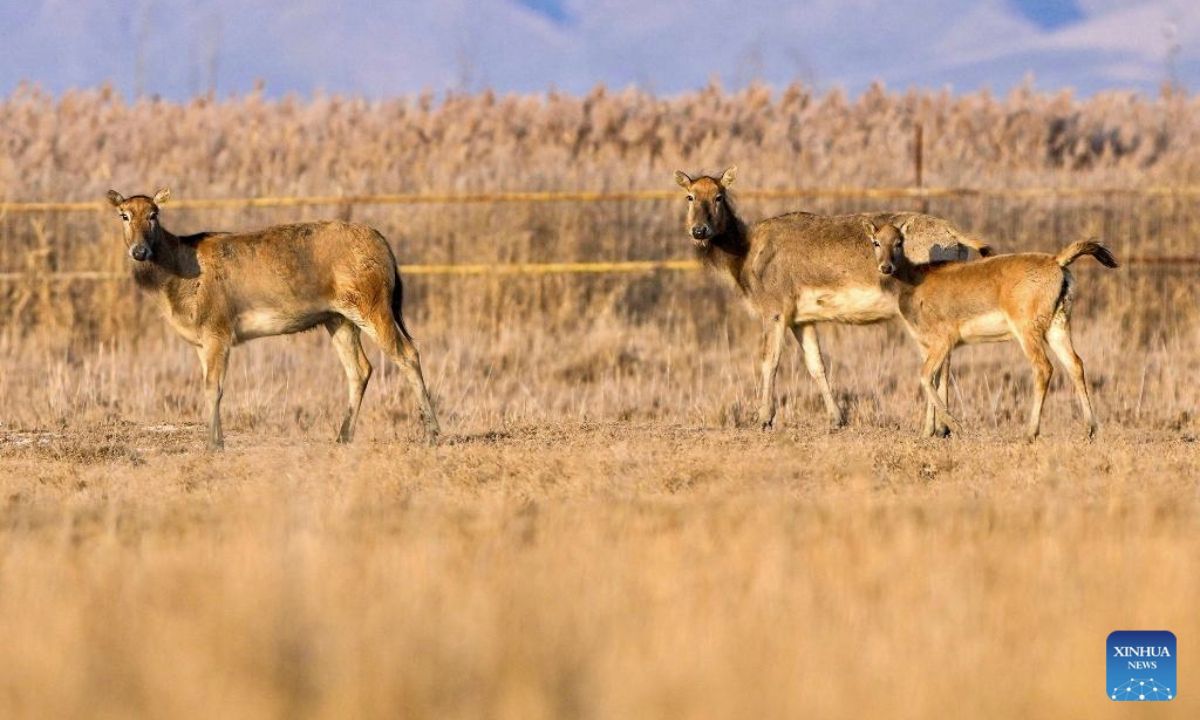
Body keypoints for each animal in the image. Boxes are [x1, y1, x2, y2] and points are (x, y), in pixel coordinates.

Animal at [106, 188, 440, 450]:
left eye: (154, 214)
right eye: (124, 215)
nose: (139, 251)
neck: (177, 286)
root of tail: (386, 247)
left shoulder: (218, 326)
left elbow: (214, 387)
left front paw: (214, 444)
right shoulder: (201, 340)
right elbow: (207, 386)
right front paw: (217, 440)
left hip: (371, 303)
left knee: (407, 353)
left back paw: (432, 433)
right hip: (338, 317)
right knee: (360, 368)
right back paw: (343, 436)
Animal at [673, 166, 995, 431]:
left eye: (719, 196)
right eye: (690, 196)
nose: (699, 230)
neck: (744, 258)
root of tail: (954, 236)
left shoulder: (774, 307)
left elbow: (769, 360)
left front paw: (763, 417)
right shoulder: (801, 318)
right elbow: (816, 364)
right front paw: (836, 419)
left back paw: (934, 428)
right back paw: (941, 428)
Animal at [865, 220, 1118, 440]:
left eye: (899, 242)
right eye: (876, 241)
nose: (886, 267)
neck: (915, 279)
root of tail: (1057, 262)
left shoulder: (944, 341)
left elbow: (925, 376)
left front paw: (956, 427)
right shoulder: (926, 346)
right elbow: (934, 379)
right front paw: (928, 432)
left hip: (1028, 332)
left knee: (1044, 368)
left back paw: (1030, 433)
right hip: (1057, 328)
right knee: (1075, 364)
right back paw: (1090, 429)